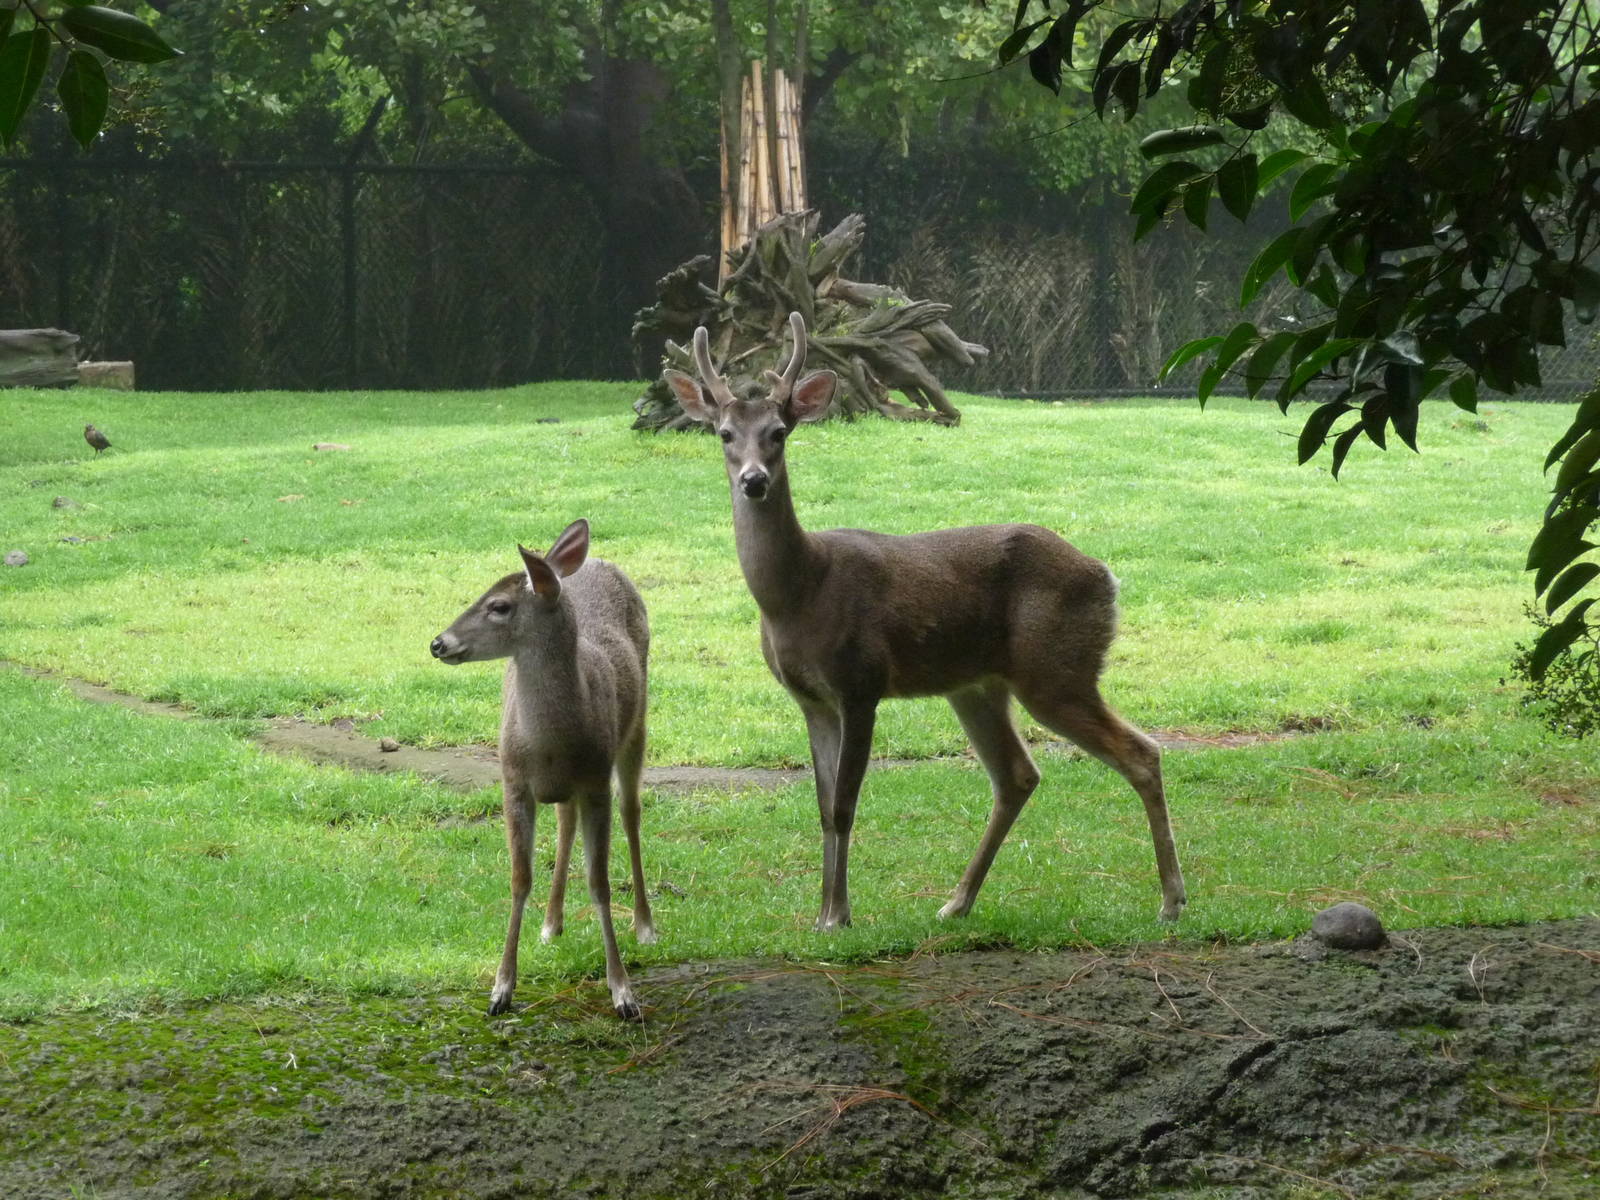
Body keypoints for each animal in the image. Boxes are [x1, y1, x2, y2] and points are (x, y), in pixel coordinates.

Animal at [429, 519, 655, 1019]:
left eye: (499, 606)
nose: (437, 643)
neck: (550, 743)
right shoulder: (513, 781)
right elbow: (519, 878)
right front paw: (501, 989)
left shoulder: (595, 780)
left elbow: (599, 882)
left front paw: (623, 993)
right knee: (565, 820)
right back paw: (552, 924)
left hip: (636, 727)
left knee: (631, 813)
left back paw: (646, 925)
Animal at [663, 312, 1185, 933]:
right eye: (724, 434)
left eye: (780, 432)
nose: (754, 480)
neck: (799, 594)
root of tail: (1107, 576)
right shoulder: (811, 699)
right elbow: (821, 806)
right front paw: (821, 914)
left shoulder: (861, 683)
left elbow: (844, 803)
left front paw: (839, 915)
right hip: (978, 685)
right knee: (1018, 774)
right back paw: (956, 902)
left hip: (1056, 668)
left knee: (1142, 753)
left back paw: (1172, 900)